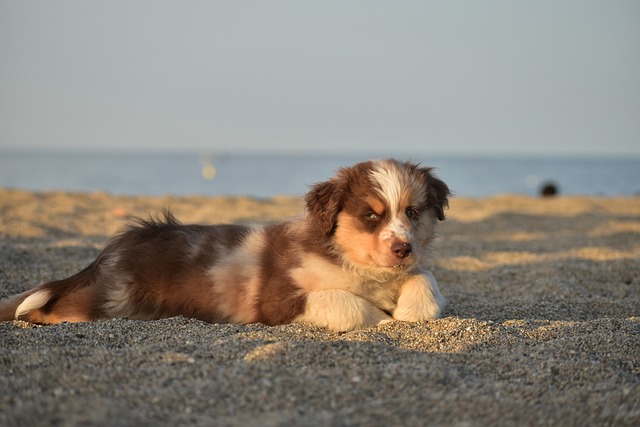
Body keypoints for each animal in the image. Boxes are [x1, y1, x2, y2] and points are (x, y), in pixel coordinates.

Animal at [0, 159, 450, 332]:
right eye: (371, 216)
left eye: (412, 212)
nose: (402, 249)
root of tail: (121, 243)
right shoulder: (280, 298)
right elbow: (347, 303)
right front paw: (386, 320)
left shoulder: (410, 270)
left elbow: (425, 281)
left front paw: (408, 310)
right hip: (113, 299)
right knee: (53, 308)